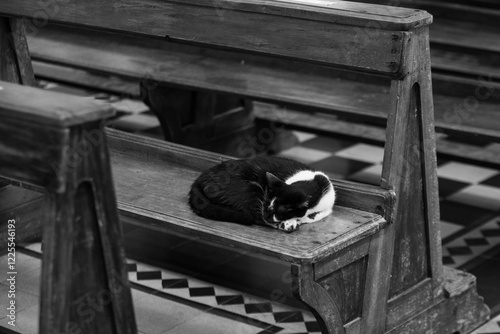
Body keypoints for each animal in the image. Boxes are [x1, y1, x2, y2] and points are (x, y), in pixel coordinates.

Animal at [188, 157, 336, 232]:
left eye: (280, 210)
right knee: (253, 216)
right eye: (265, 202)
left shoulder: (326, 208)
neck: (316, 184)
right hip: (248, 189)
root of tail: (200, 179)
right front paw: (288, 223)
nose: (267, 215)